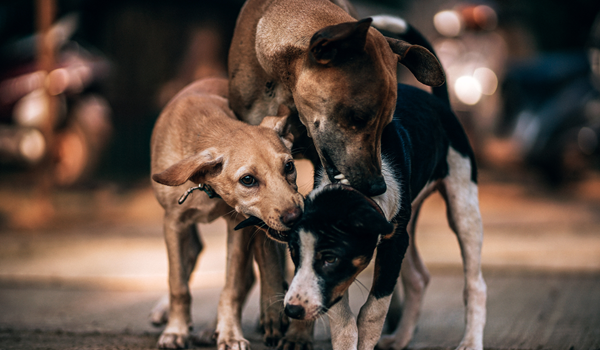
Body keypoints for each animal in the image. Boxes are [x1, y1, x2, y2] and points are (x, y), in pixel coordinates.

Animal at [148, 78, 302, 348]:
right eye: (248, 180)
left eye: (289, 166)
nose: (295, 216)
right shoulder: (174, 222)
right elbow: (178, 283)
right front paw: (176, 331)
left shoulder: (238, 224)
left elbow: (232, 288)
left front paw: (230, 333)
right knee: (191, 255)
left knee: (246, 277)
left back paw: (213, 328)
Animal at [278, 16, 486, 350]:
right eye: (294, 255)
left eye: (329, 257)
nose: (293, 310)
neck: (357, 186)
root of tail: (439, 102)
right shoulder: (388, 240)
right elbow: (344, 320)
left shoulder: (394, 241)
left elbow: (373, 311)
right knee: (418, 278)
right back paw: (401, 337)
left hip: (463, 205)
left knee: (475, 283)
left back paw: (470, 340)